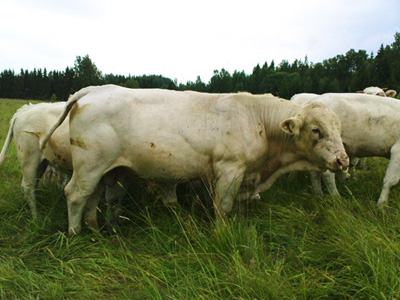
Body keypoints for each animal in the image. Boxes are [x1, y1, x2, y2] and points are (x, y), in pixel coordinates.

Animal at [39, 85, 350, 237]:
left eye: (339, 128)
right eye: (316, 130)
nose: (343, 160)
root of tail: (94, 91)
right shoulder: (229, 170)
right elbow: (223, 208)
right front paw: (223, 232)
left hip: (102, 169)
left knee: (90, 198)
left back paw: (92, 229)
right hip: (89, 165)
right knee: (75, 195)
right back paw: (75, 232)